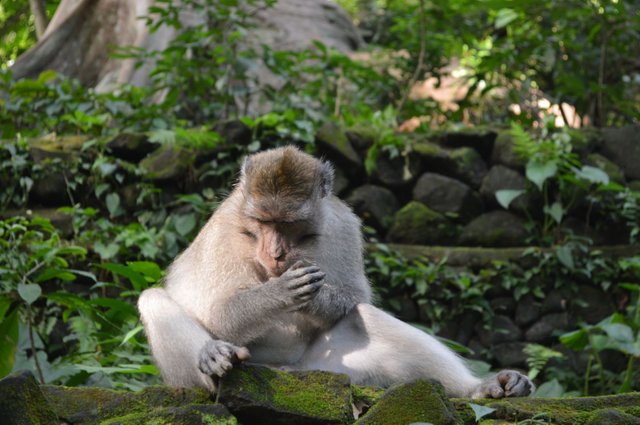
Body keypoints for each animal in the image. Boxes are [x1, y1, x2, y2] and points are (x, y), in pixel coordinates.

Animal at [138, 146, 532, 398]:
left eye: (287, 223)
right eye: (264, 222)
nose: (275, 252)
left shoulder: (343, 224)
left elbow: (355, 297)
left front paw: (317, 298)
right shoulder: (223, 229)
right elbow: (219, 314)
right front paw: (280, 294)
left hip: (326, 369)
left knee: (364, 316)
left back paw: (478, 388)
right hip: (189, 380)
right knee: (153, 299)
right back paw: (214, 358)